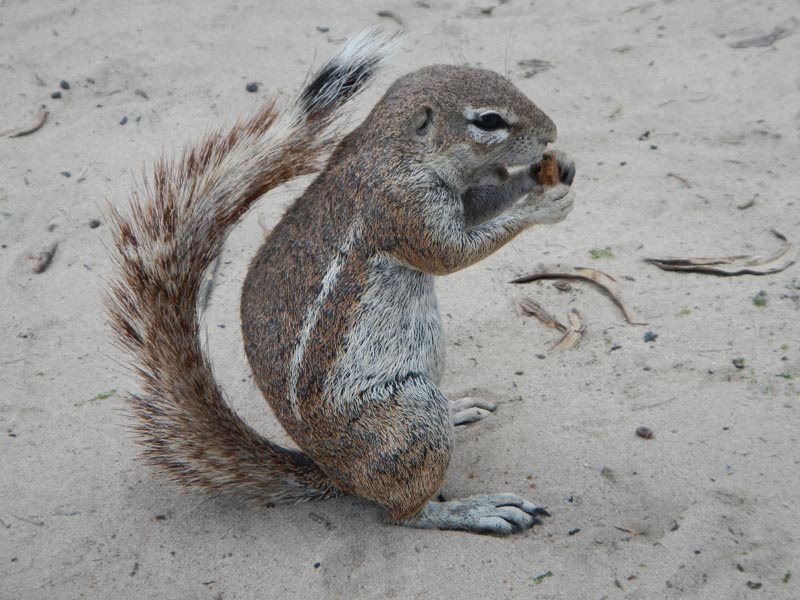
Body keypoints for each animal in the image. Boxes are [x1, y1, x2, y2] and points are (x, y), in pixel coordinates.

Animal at [111, 30, 576, 536]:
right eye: (488, 120)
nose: (552, 131)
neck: (397, 149)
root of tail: (333, 472)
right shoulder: (402, 208)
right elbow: (450, 253)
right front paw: (542, 203)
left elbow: (479, 207)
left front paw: (549, 170)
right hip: (406, 416)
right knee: (402, 512)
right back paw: (472, 509)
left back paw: (457, 409)